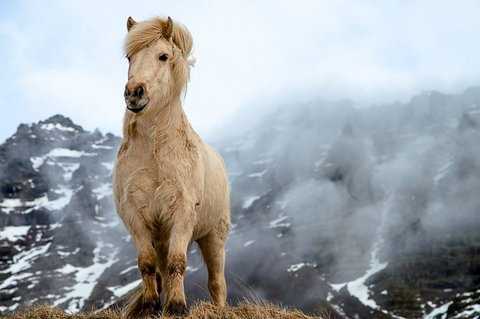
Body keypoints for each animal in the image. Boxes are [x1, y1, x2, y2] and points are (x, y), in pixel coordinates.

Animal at [113, 15, 232, 318]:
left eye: (163, 56)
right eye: (129, 57)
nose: (134, 93)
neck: (155, 152)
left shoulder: (182, 212)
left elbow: (177, 262)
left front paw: (177, 306)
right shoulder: (136, 215)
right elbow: (147, 264)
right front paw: (152, 305)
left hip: (213, 236)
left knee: (217, 282)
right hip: (163, 235)